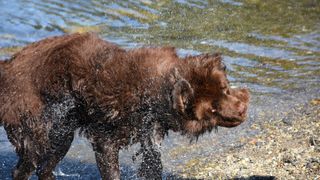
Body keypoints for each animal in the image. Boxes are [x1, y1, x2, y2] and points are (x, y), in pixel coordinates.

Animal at [0, 33, 250, 179]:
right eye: (212, 109)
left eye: (225, 89)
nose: (241, 110)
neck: (153, 93)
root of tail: (7, 67)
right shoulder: (105, 138)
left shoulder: (150, 134)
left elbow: (153, 164)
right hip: (34, 123)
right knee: (26, 165)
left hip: (62, 132)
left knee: (45, 165)